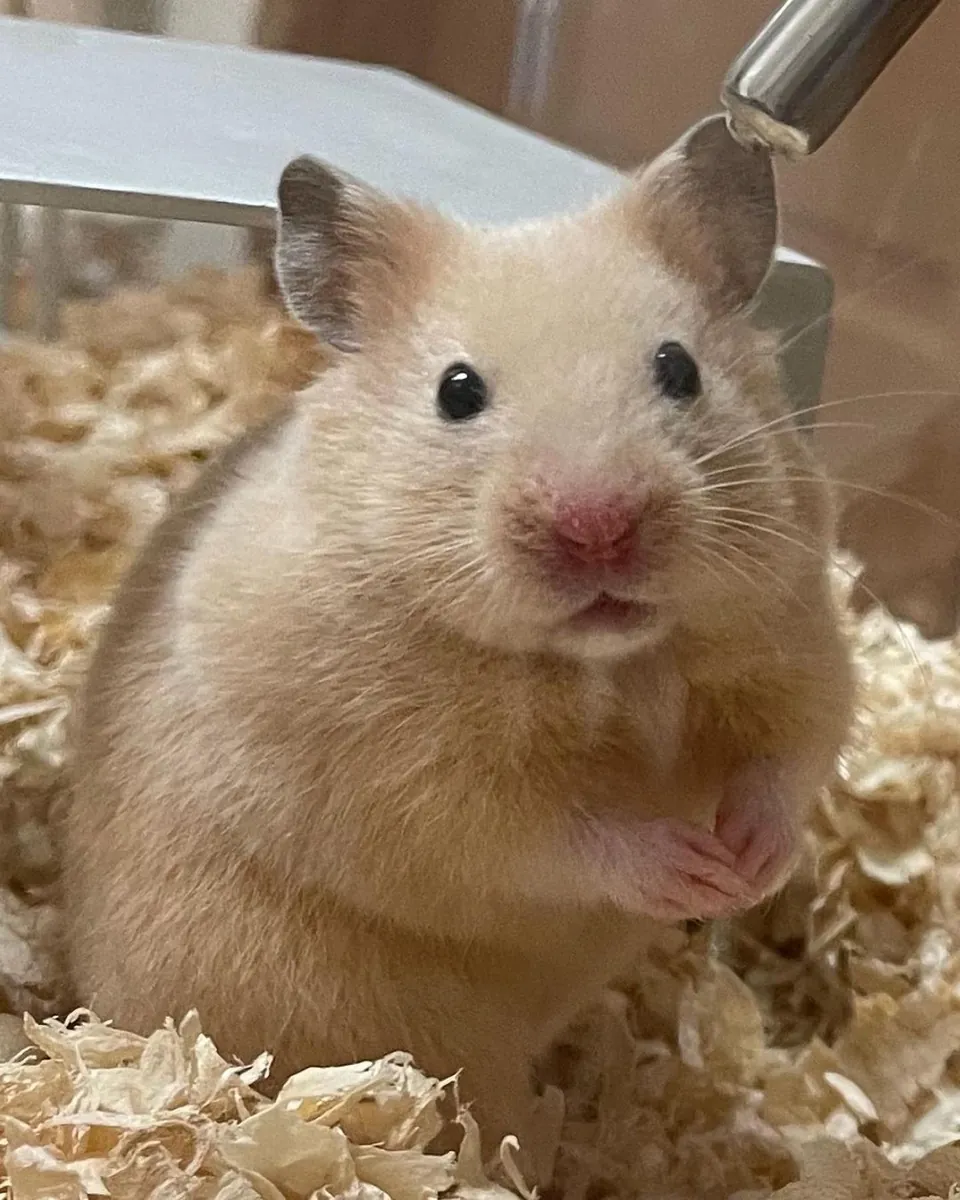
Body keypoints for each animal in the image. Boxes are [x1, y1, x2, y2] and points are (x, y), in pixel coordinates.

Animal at [60, 115, 853, 1170]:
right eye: (458, 390)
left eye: (679, 369)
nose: (598, 526)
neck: (615, 660)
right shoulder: (411, 783)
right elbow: (556, 834)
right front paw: (691, 868)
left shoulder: (798, 646)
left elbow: (786, 761)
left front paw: (747, 866)